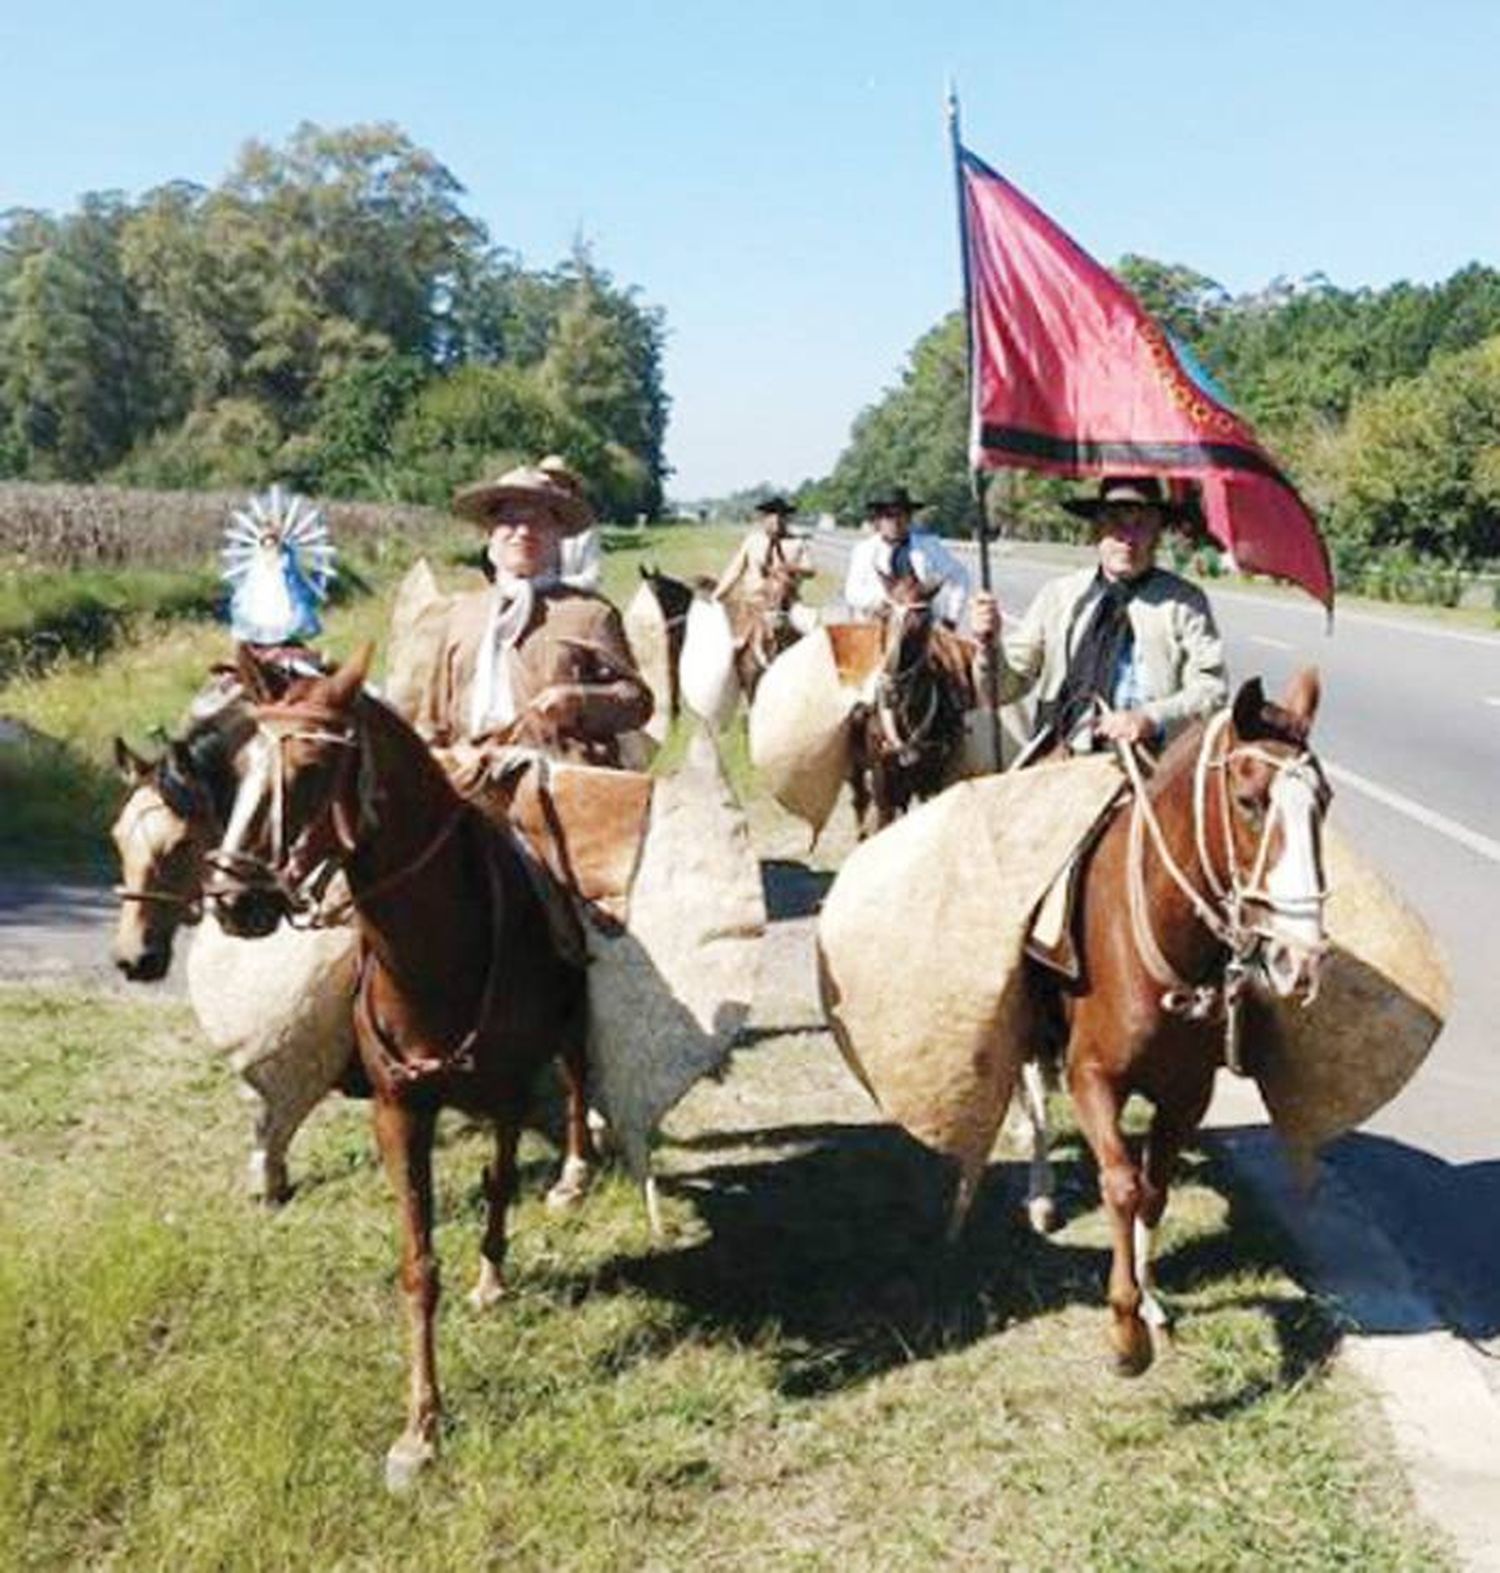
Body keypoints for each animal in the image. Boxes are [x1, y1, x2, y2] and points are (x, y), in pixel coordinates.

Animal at [212, 641, 597, 1484]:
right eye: (240, 765)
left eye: (313, 767)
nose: (232, 900)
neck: (435, 948)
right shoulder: (399, 1110)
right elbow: (418, 1264)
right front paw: (420, 1427)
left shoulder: (507, 1076)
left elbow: (499, 1176)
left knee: (561, 1095)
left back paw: (559, 1189)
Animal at [842, 569, 968, 836]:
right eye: (882, 614)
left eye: (921, 622)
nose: (890, 689)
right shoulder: (884, 784)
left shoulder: (932, 781)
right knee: (860, 800)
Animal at [1037, 670, 1327, 1371]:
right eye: (1249, 801)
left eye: (1325, 804)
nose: (1300, 960)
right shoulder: (1091, 1076)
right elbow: (1120, 1184)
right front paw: (1124, 1329)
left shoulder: (1186, 1095)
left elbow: (1155, 1189)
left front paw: (1150, 1304)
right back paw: (1040, 1195)